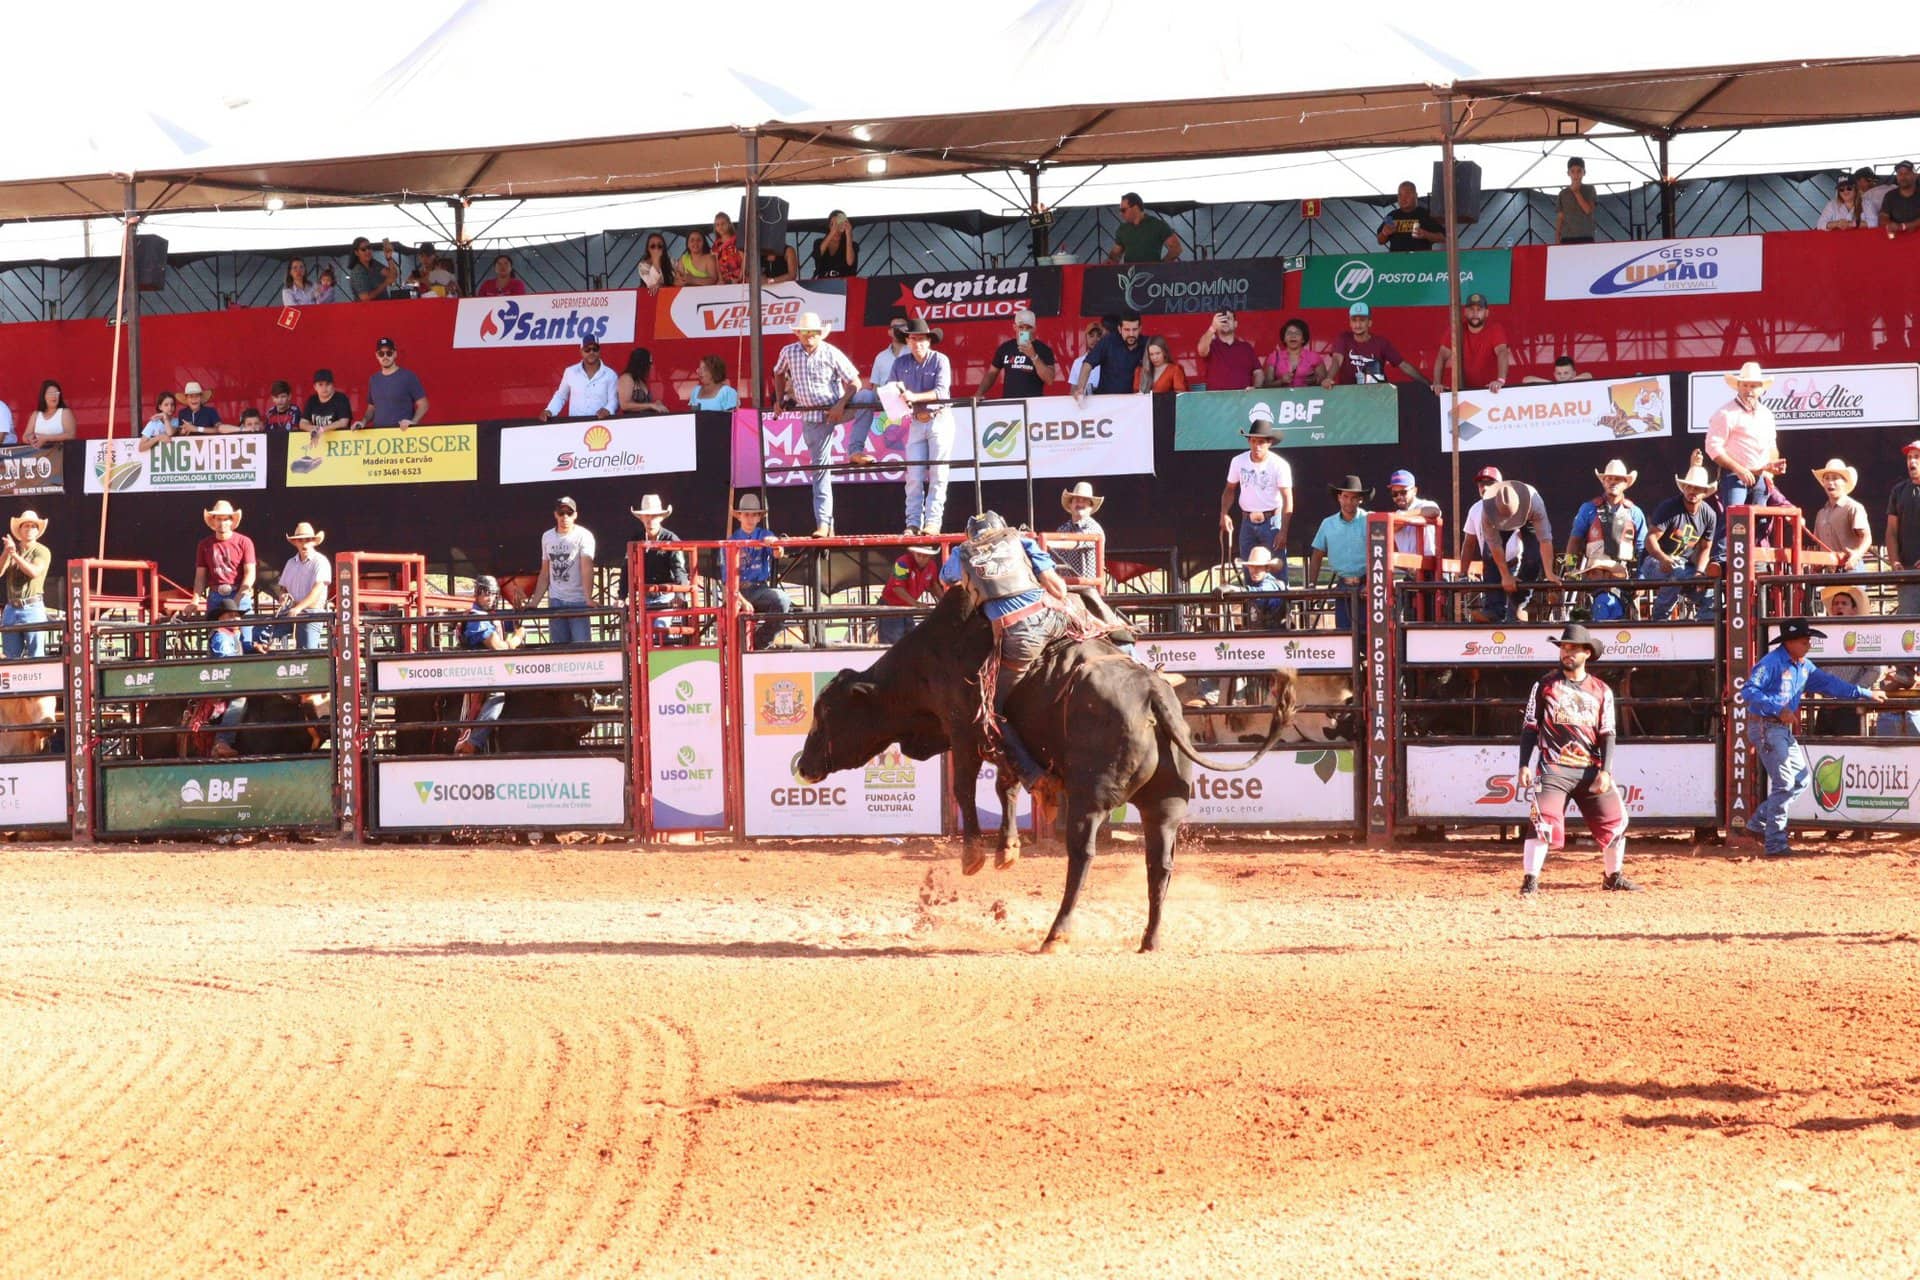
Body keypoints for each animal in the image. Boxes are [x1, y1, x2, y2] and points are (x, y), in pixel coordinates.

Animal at [794, 591, 1305, 951]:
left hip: (1090, 799)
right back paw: (1150, 939)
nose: (803, 764)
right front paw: (1007, 849)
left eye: (827, 713)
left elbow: (965, 788)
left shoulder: (965, 727)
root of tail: (1153, 695)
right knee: (1159, 864)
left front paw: (974, 855)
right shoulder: (998, 739)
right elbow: (1005, 787)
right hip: (1165, 805)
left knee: (1082, 857)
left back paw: (1056, 934)